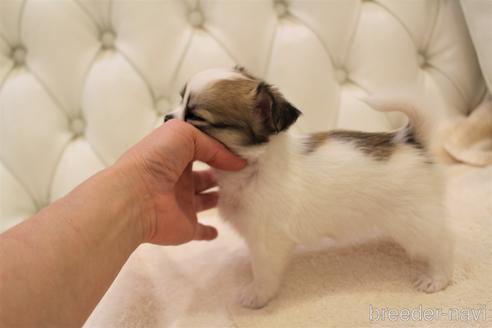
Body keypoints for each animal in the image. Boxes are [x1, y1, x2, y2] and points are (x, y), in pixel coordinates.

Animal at [165, 67, 454, 310]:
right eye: (180, 99)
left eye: (195, 116)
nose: (167, 117)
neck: (255, 168)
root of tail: (409, 140)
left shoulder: (268, 242)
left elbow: (264, 272)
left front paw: (257, 295)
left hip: (414, 222)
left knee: (440, 246)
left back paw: (437, 278)